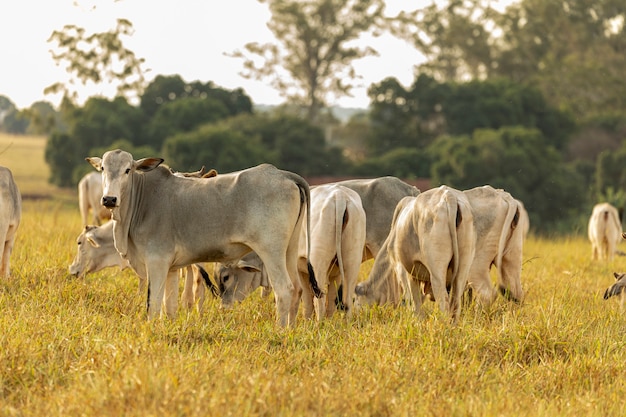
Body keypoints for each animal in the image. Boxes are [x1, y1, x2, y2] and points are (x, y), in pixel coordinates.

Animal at [85, 149, 320, 324]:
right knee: (298, 289)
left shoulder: (156, 262)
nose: (109, 199)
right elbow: (169, 306)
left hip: (271, 252)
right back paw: (290, 330)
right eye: (103, 168)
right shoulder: (171, 268)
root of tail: (282, 174)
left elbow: (153, 304)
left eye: (128, 170)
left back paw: (280, 331)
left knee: (285, 290)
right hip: (289, 250)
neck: (143, 201)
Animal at [354, 185, 476, 322]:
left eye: (357, 302)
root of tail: (448, 196)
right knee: (456, 303)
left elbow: (412, 300)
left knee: (443, 301)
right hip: (463, 269)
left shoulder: (403, 269)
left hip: (437, 271)